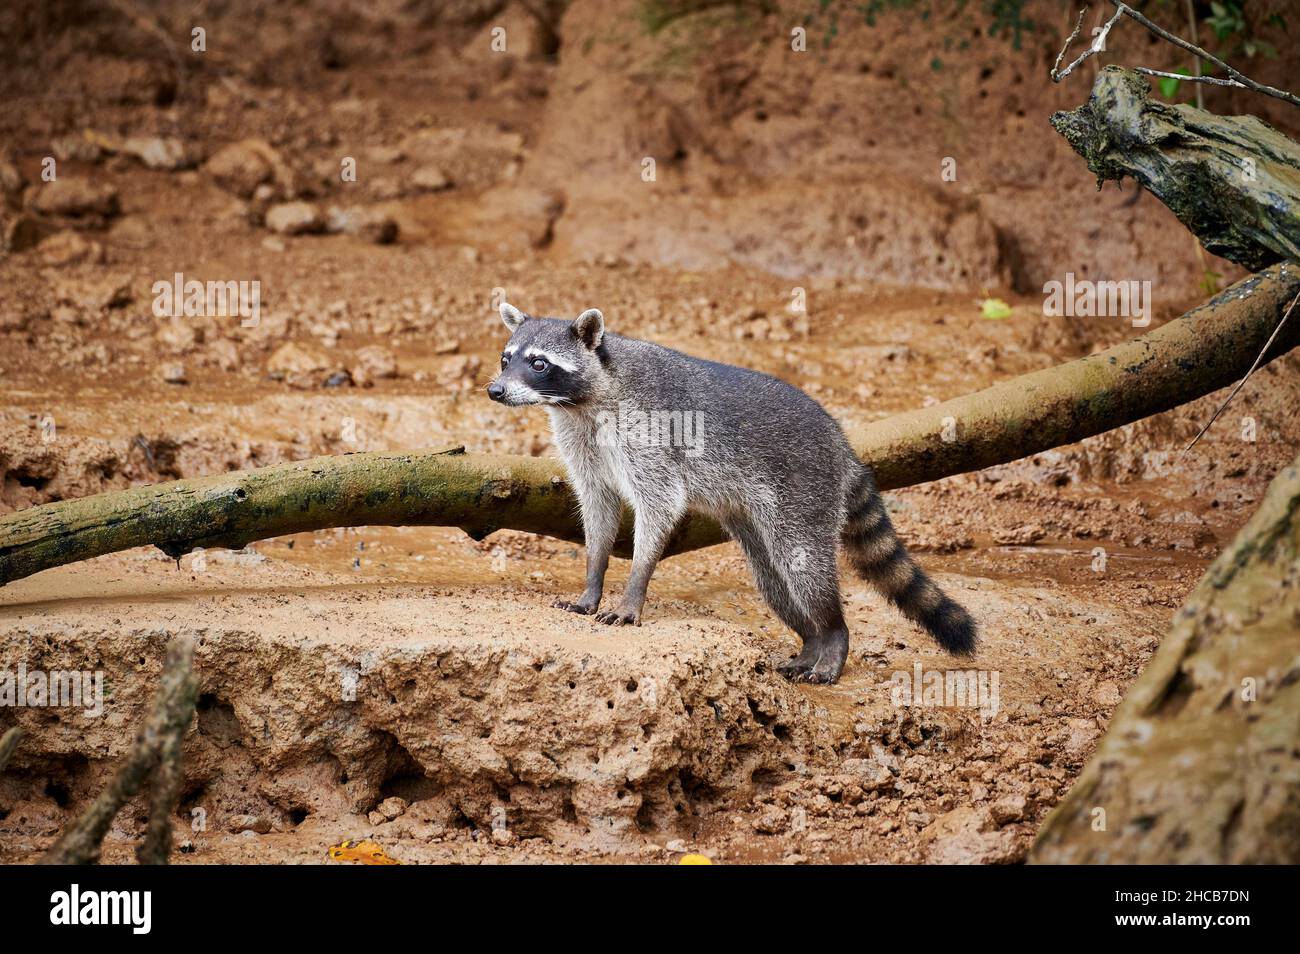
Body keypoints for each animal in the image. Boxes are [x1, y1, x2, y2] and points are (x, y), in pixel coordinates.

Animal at [488, 302, 977, 686]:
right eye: (505, 358)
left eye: (538, 363)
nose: (495, 389)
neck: (585, 400)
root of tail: (841, 443)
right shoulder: (583, 445)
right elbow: (598, 511)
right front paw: (593, 581)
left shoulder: (651, 436)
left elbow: (660, 506)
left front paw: (633, 590)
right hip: (758, 520)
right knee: (776, 583)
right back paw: (811, 640)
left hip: (805, 491)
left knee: (803, 568)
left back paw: (833, 636)